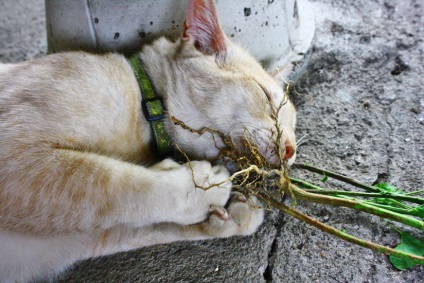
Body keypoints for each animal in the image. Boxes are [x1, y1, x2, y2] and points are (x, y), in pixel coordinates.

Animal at [0, 0, 296, 282]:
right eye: (268, 100)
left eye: (292, 126)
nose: (291, 150)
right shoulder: (17, 156)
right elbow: (116, 186)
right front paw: (202, 188)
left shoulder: (73, 242)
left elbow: (140, 225)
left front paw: (231, 215)